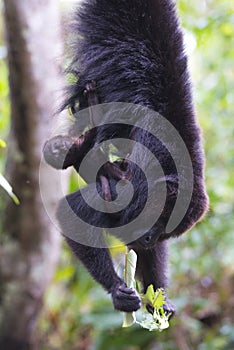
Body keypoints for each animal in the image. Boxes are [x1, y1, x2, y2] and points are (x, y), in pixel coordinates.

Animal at [44, 0, 208, 316]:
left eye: (165, 232)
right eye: (161, 220)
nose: (150, 238)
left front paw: (158, 296)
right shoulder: (128, 188)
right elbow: (71, 213)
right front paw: (117, 291)